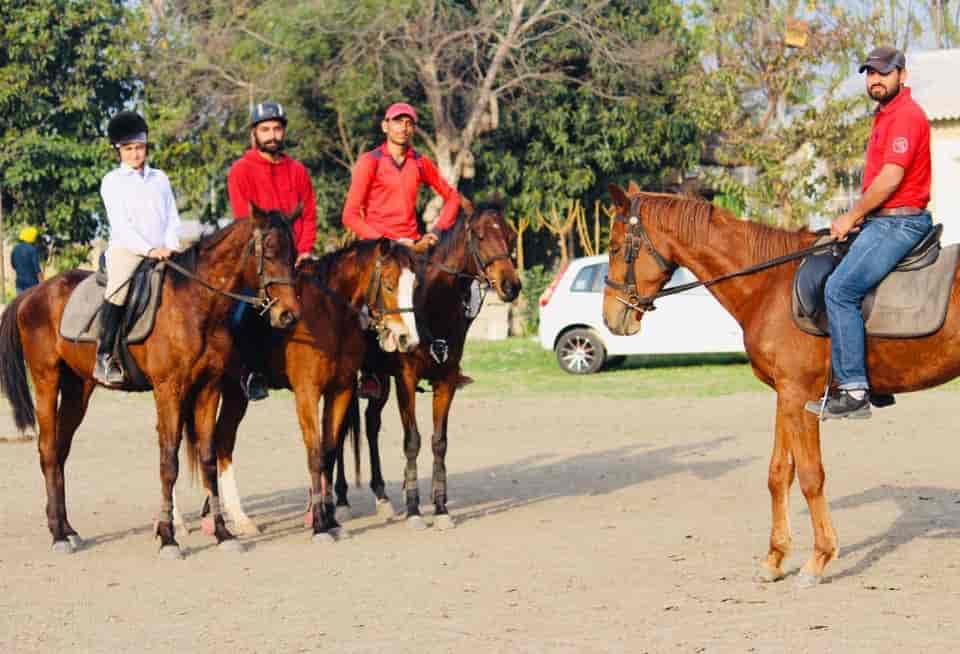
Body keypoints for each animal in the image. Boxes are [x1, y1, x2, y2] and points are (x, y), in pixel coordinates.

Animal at [0, 204, 301, 558]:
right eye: (268, 252)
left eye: (293, 253)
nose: (288, 315)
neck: (197, 304)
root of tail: (34, 293)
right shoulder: (169, 390)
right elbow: (169, 461)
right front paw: (169, 537)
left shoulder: (208, 388)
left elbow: (208, 459)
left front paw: (223, 534)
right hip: (46, 380)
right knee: (48, 450)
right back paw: (58, 536)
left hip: (77, 389)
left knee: (60, 451)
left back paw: (67, 529)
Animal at [199, 238, 422, 543]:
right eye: (388, 285)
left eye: (414, 286)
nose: (407, 339)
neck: (329, 315)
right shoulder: (307, 393)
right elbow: (315, 454)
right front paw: (318, 525)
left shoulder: (340, 391)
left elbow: (328, 452)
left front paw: (330, 520)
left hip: (235, 394)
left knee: (222, 441)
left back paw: (238, 519)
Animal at [335, 201, 522, 529]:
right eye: (480, 236)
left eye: (511, 235)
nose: (511, 286)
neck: (435, 303)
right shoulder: (406, 379)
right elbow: (412, 440)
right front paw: (413, 508)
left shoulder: (445, 381)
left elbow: (439, 442)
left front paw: (440, 507)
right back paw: (343, 500)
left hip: (381, 381)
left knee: (371, 424)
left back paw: (381, 497)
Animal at [601, 181, 960, 586]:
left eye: (614, 247)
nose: (611, 317)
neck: (770, 285)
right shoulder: (785, 395)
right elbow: (779, 473)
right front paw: (774, 558)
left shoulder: (799, 394)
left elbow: (810, 475)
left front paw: (818, 559)